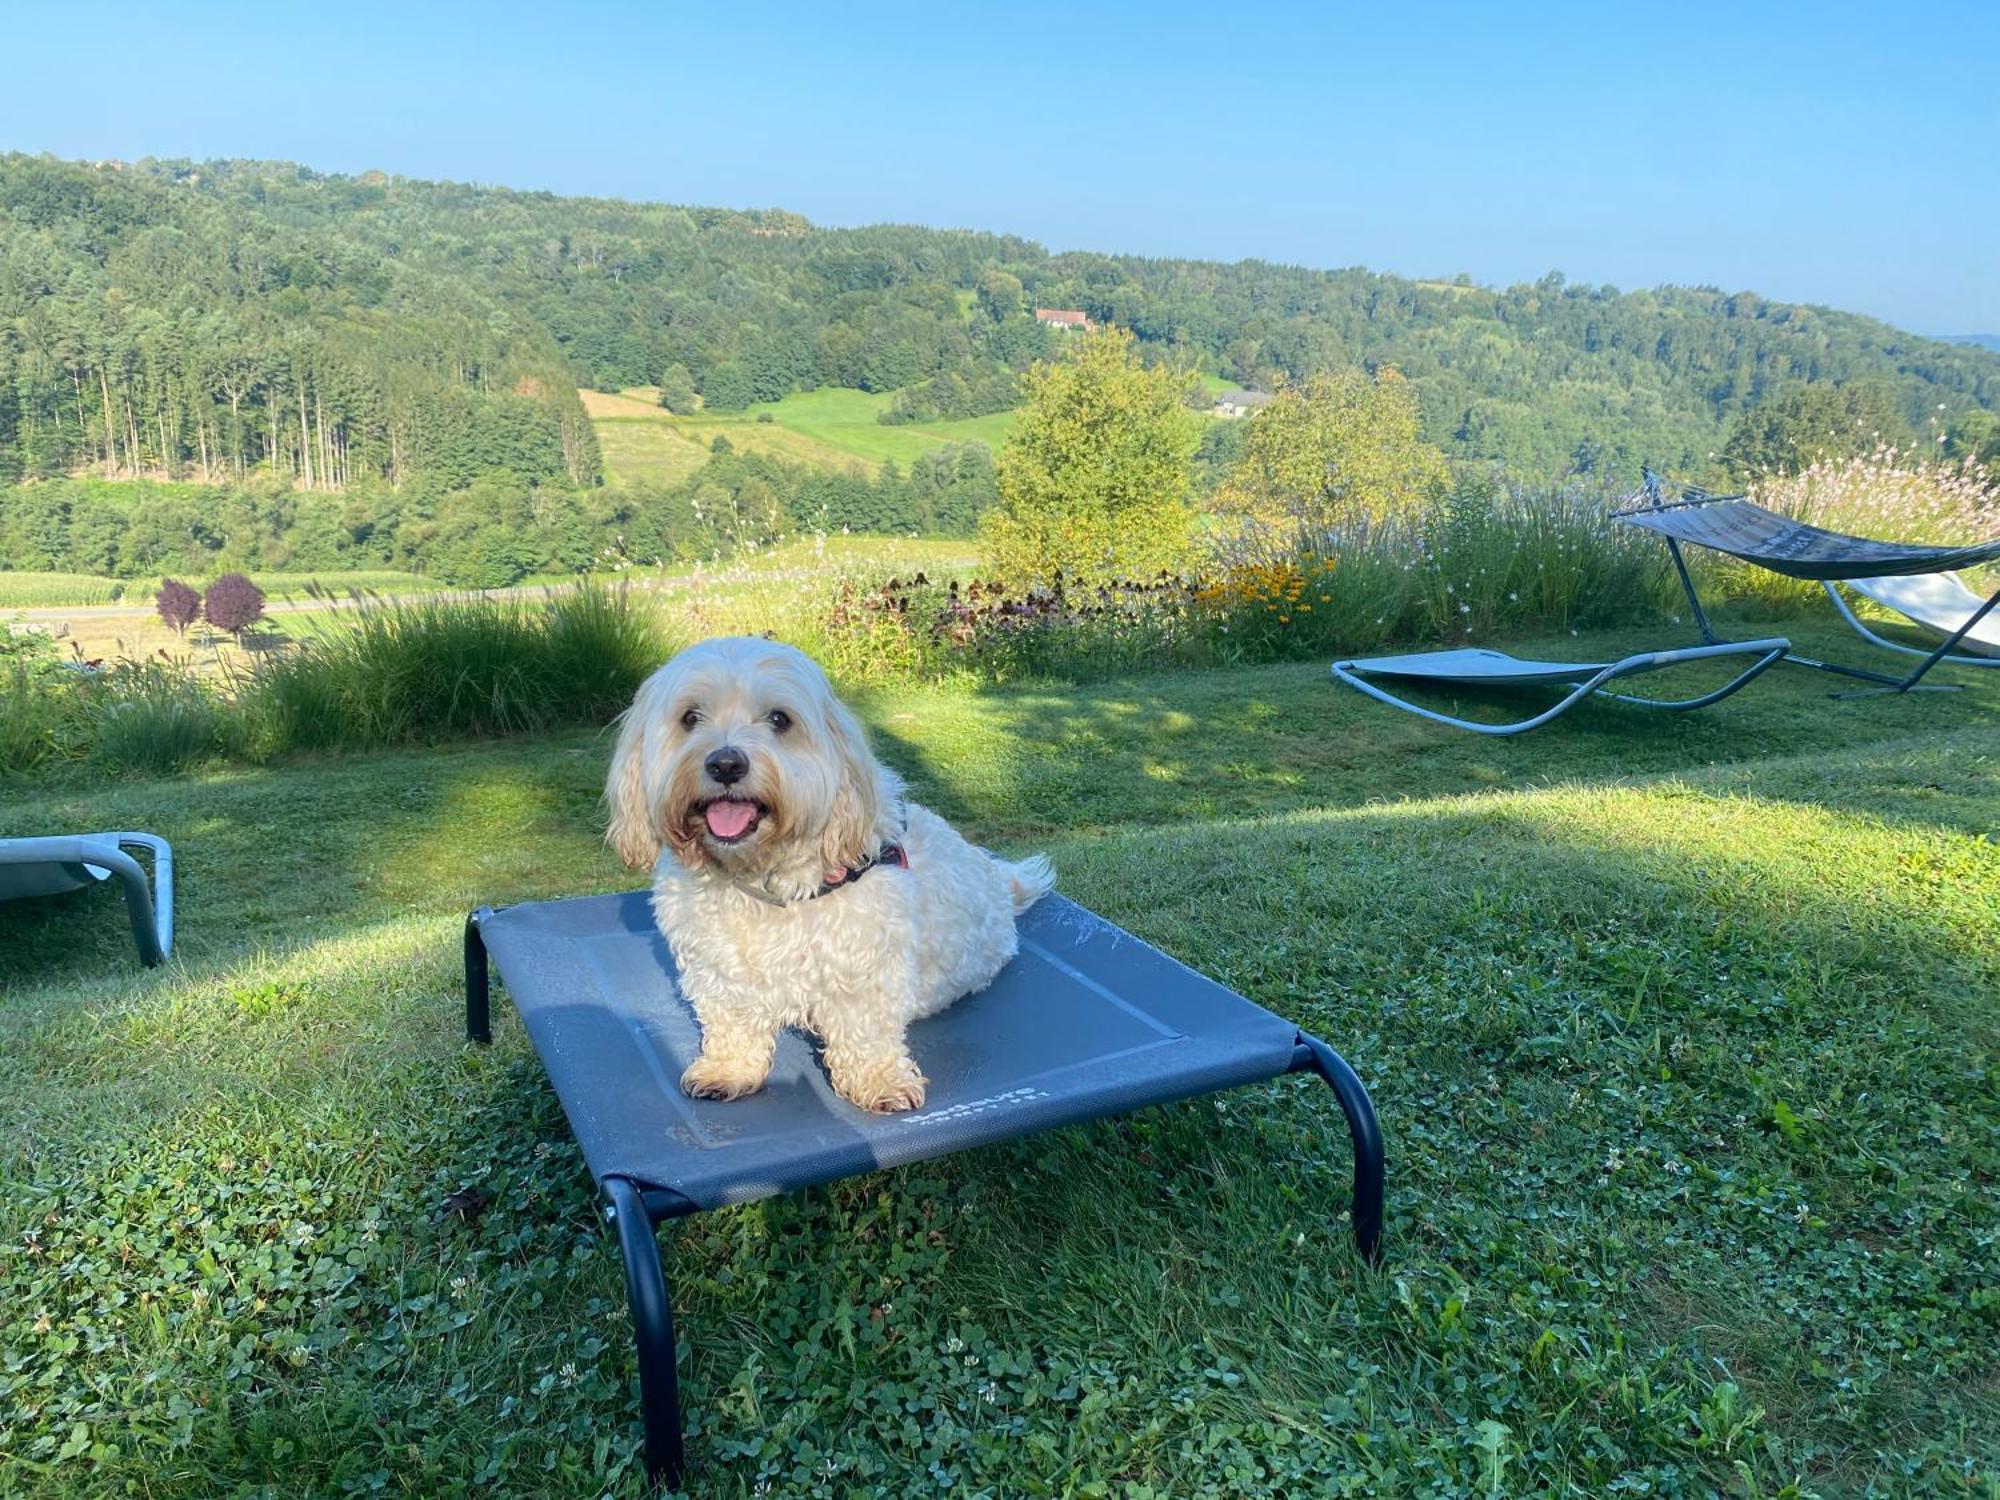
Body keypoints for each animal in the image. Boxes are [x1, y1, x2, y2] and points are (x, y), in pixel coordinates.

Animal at [600, 636, 1056, 1120]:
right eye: (690, 717)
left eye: (779, 719)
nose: (725, 764)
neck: (762, 879)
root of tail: (1000, 885)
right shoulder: (718, 968)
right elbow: (731, 1019)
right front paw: (727, 1070)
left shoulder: (865, 967)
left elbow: (865, 1029)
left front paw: (880, 1081)